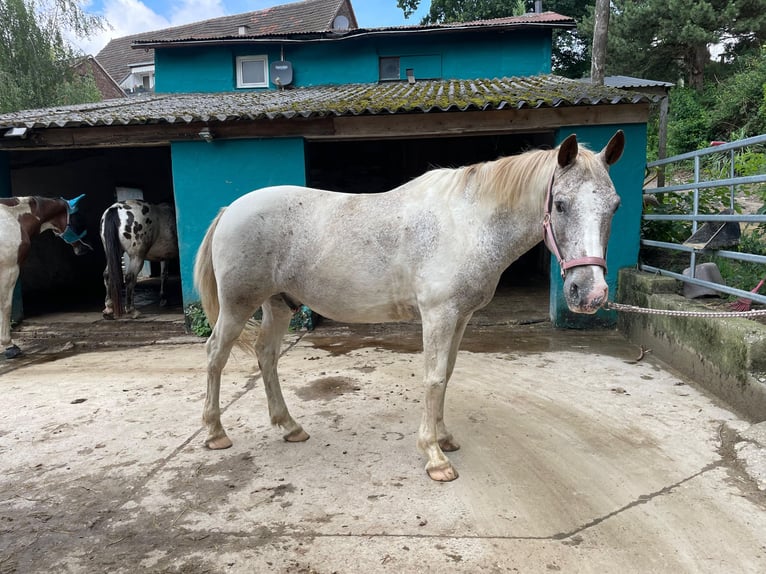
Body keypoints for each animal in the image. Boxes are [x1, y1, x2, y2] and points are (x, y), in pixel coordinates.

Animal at [0, 198, 93, 360]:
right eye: (77, 219)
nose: (85, 248)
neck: (13, 217)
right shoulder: (9, 270)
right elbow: (6, 306)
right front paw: (9, 346)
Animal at [195, 130, 628, 482]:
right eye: (560, 204)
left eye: (615, 206)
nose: (589, 293)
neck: (467, 223)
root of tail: (230, 210)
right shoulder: (439, 315)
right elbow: (433, 378)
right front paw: (434, 457)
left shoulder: (460, 317)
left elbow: (447, 375)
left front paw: (445, 437)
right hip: (238, 306)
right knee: (216, 355)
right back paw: (216, 433)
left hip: (278, 305)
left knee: (267, 356)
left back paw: (289, 426)